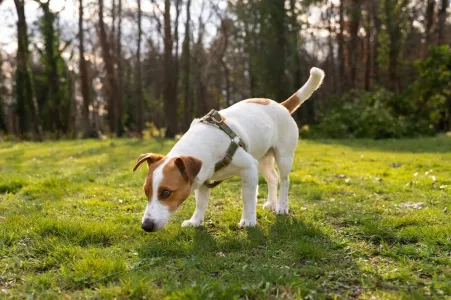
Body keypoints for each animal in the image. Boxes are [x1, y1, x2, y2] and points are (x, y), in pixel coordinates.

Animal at [133, 68, 324, 232]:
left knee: (284, 180)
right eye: (146, 191)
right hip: (262, 159)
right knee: (272, 177)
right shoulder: (204, 177)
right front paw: (196, 221)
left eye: (166, 192)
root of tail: (282, 105)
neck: (205, 143)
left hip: (283, 156)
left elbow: (247, 198)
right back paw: (271, 203)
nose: (146, 226)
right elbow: (201, 202)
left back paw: (282, 206)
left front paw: (248, 220)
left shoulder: (248, 168)